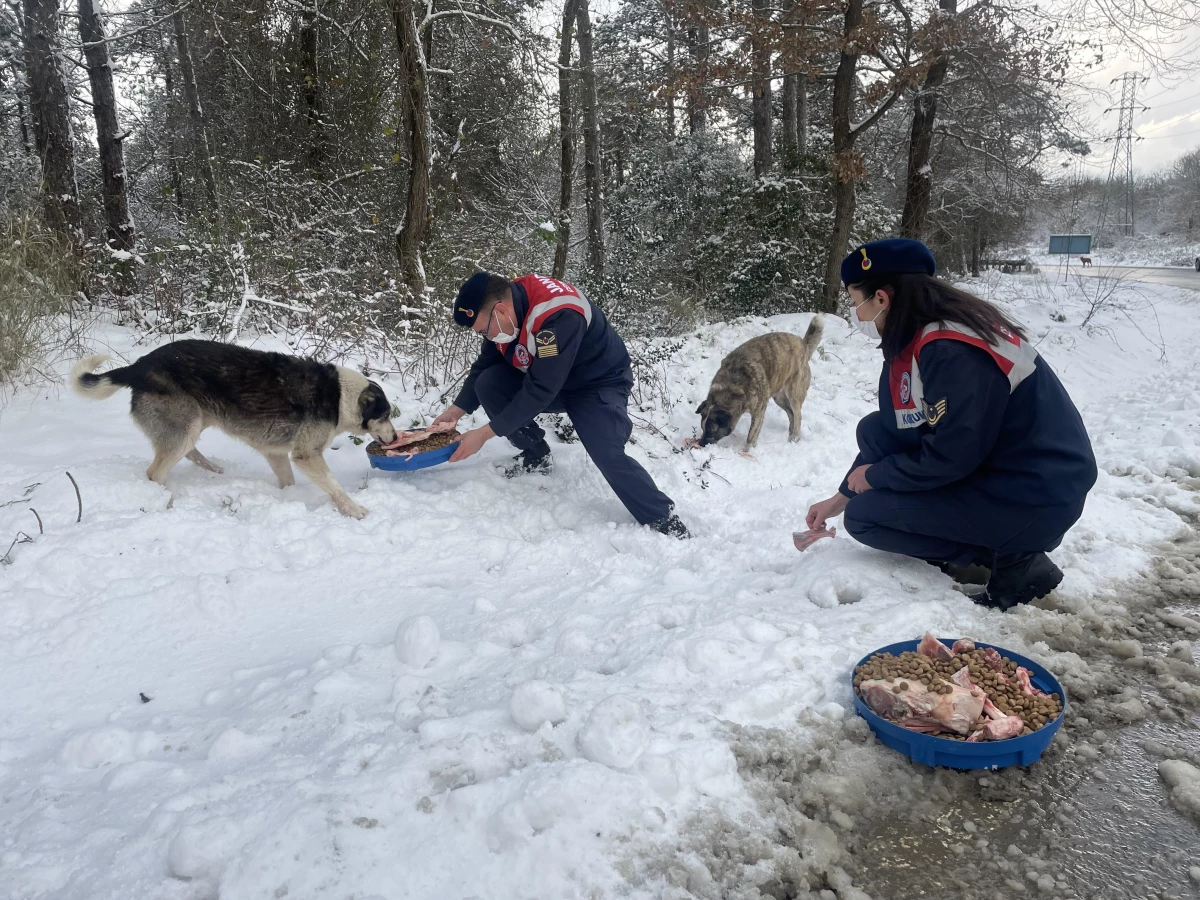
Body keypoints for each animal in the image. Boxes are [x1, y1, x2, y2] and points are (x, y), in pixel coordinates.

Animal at [69, 340, 398, 520]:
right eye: (384, 415)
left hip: (195, 423)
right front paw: (354, 510)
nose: (395, 437)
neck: (342, 397)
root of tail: (137, 366)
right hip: (186, 427)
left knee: (186, 453)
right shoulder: (306, 455)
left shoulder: (276, 453)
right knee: (155, 473)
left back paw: (213, 468)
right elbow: (335, 486)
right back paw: (167, 502)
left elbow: (288, 483)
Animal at [696, 316, 825, 451]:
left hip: (794, 393)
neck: (731, 387)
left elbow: (752, 434)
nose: (700, 444)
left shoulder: (759, 411)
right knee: (791, 414)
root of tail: (804, 345)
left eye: (711, 432)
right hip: (779, 397)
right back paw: (790, 434)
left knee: (798, 415)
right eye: (702, 428)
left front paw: (746, 451)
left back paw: (794, 438)